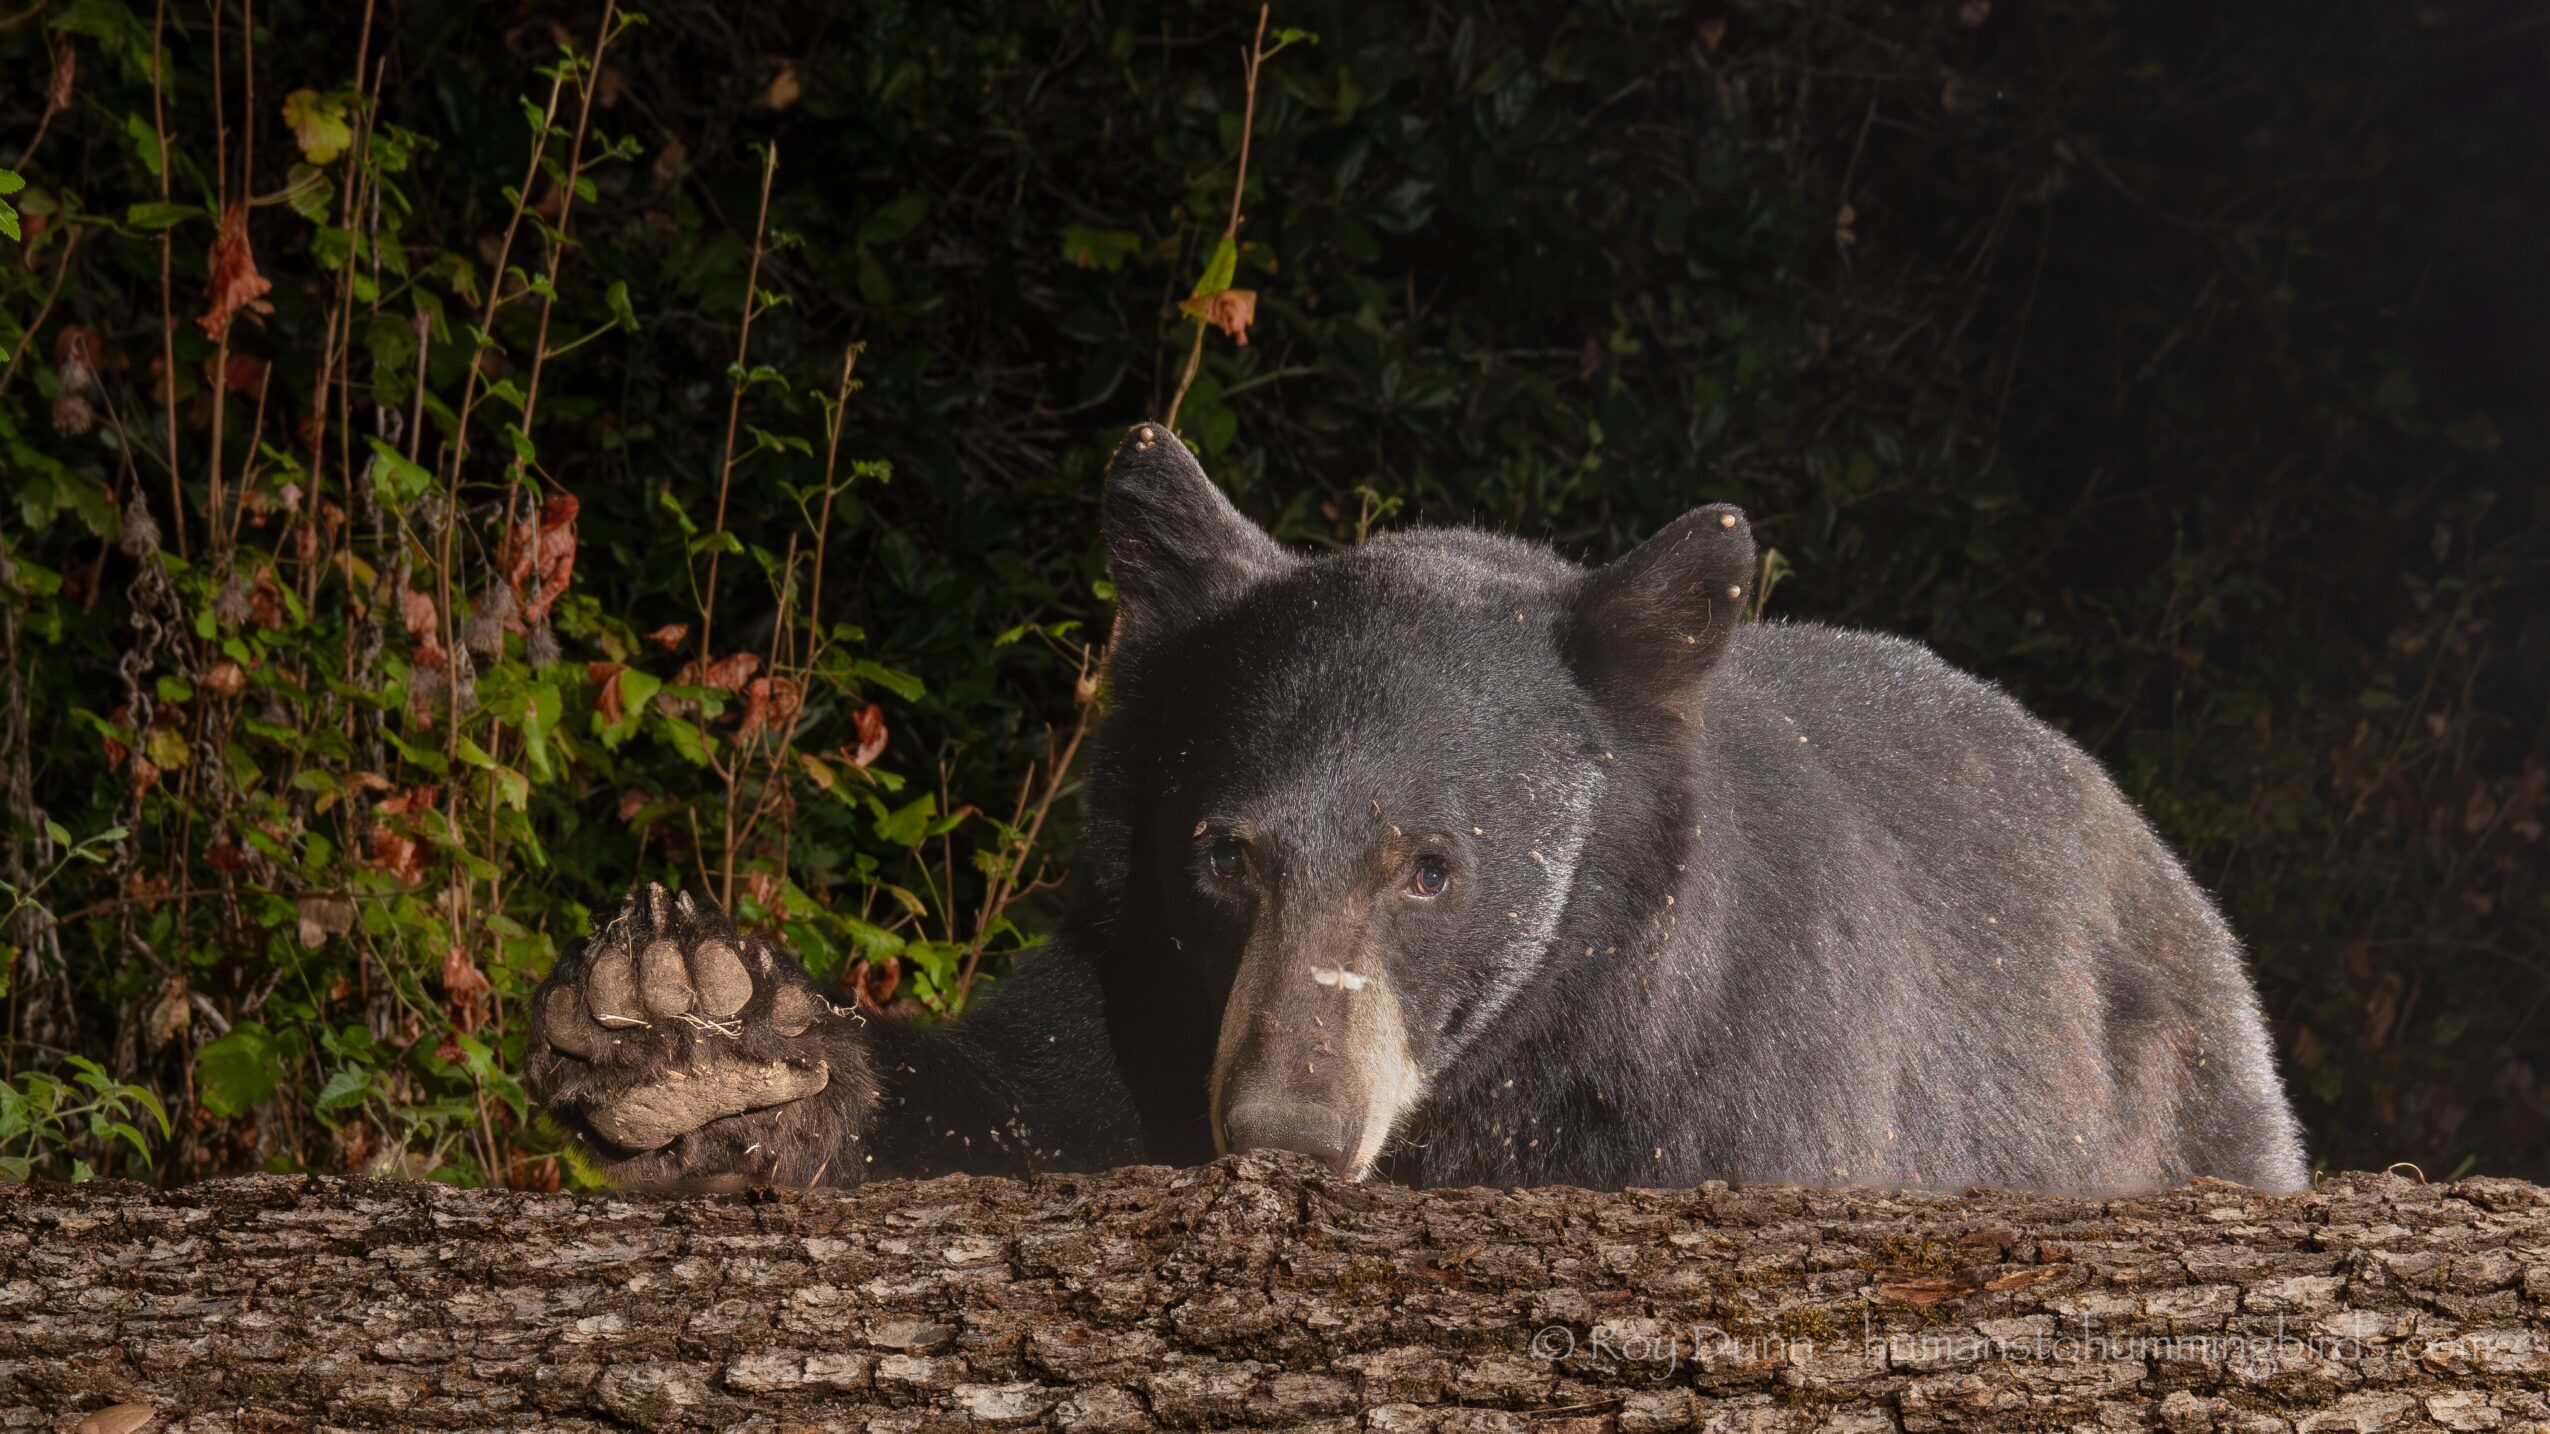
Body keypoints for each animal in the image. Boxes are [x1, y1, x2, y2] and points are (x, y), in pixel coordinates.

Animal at [525, 420, 2310, 1194]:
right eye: (1223, 851)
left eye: (1433, 868)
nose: (1287, 1130)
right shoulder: (1147, 983)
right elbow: (1018, 1096)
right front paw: (694, 1034)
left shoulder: (1734, 1074)